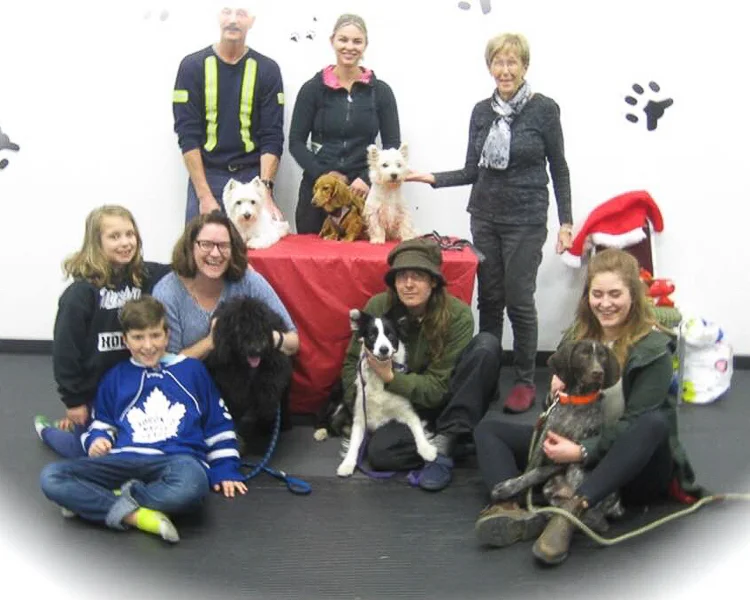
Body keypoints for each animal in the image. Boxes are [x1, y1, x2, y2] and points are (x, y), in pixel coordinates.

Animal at [336, 308, 437, 477]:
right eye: (372, 335)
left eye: (390, 335)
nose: (384, 349)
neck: (379, 377)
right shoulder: (360, 417)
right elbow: (354, 444)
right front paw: (347, 464)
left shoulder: (407, 410)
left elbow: (417, 426)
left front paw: (426, 449)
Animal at [491, 340, 622, 529]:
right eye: (583, 354)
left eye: (602, 356)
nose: (598, 372)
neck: (577, 401)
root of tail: (617, 506)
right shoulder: (543, 441)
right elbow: (531, 470)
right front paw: (510, 488)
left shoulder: (569, 452)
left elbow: (536, 472)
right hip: (552, 487)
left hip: (577, 472)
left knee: (592, 518)